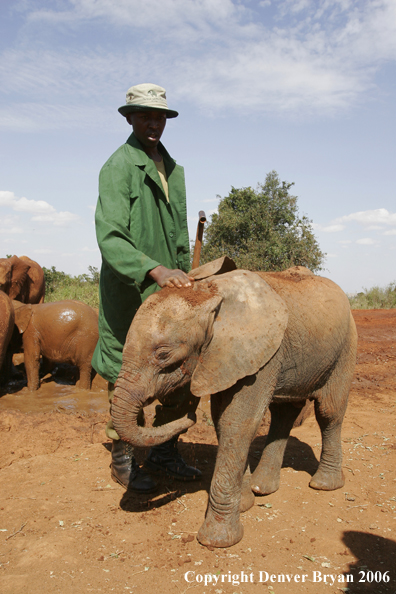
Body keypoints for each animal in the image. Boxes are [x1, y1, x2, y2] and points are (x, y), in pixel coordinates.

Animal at [110, 264, 358, 544]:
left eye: (163, 354)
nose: (190, 414)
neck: (206, 293)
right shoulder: (223, 357)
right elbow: (221, 418)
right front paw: (245, 504)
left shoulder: (257, 354)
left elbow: (237, 422)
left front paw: (217, 540)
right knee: (284, 413)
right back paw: (262, 488)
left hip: (346, 346)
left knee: (329, 411)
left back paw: (323, 485)